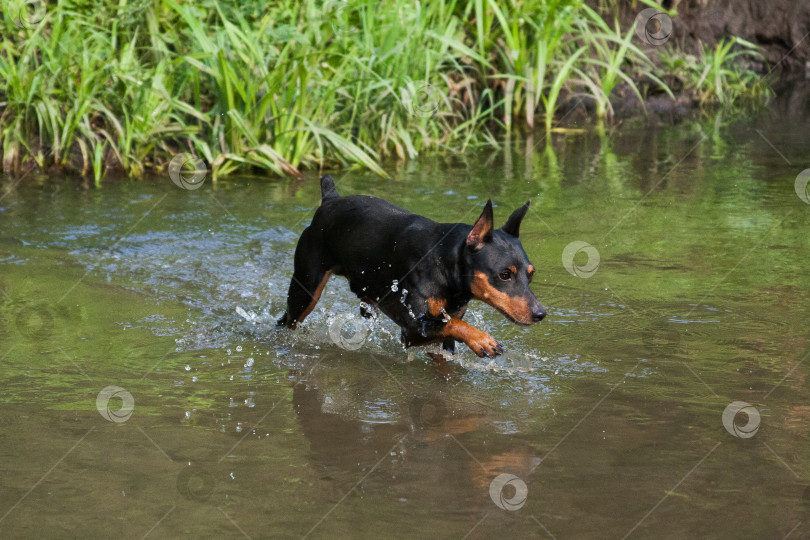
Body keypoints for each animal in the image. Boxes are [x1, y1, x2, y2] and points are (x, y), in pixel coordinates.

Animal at [274, 175, 548, 356]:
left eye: (531, 275)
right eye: (504, 275)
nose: (540, 314)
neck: (444, 264)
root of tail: (330, 200)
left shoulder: (444, 335)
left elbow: (451, 329)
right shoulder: (412, 328)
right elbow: (454, 325)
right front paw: (483, 340)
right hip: (306, 289)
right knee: (286, 321)